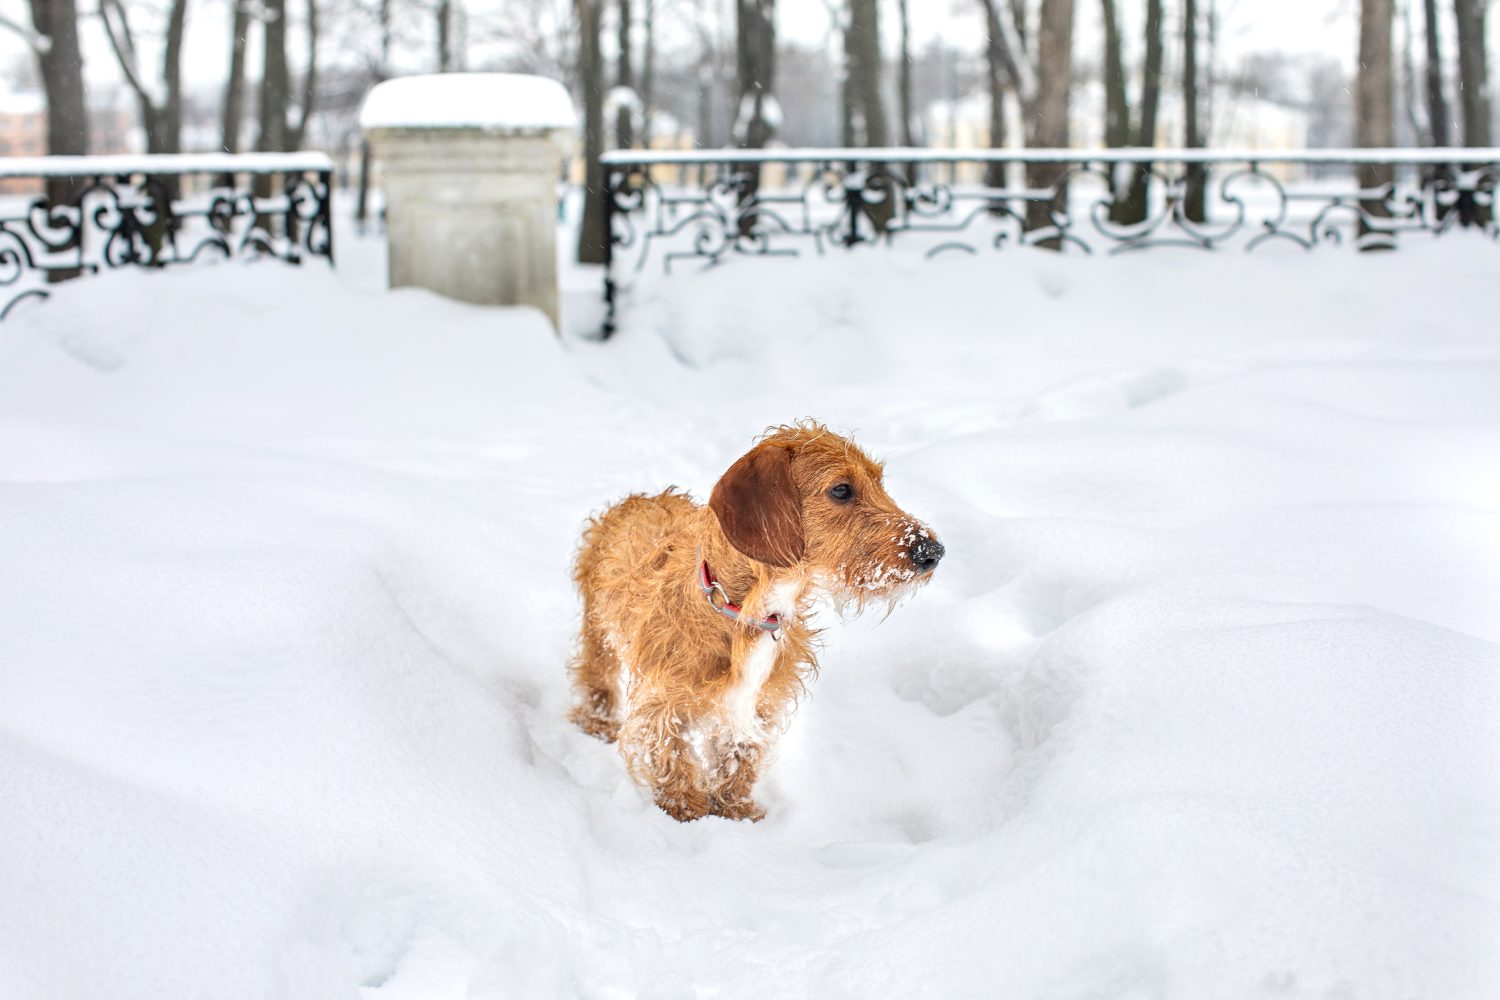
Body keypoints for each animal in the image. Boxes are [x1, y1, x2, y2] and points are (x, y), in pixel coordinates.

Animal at [567, 419, 942, 821]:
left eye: (879, 482)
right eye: (841, 489)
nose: (933, 552)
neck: (746, 611)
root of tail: (637, 499)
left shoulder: (758, 704)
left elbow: (739, 754)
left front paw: (736, 811)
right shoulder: (664, 700)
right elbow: (672, 754)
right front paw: (686, 812)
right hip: (598, 630)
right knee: (595, 676)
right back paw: (597, 721)